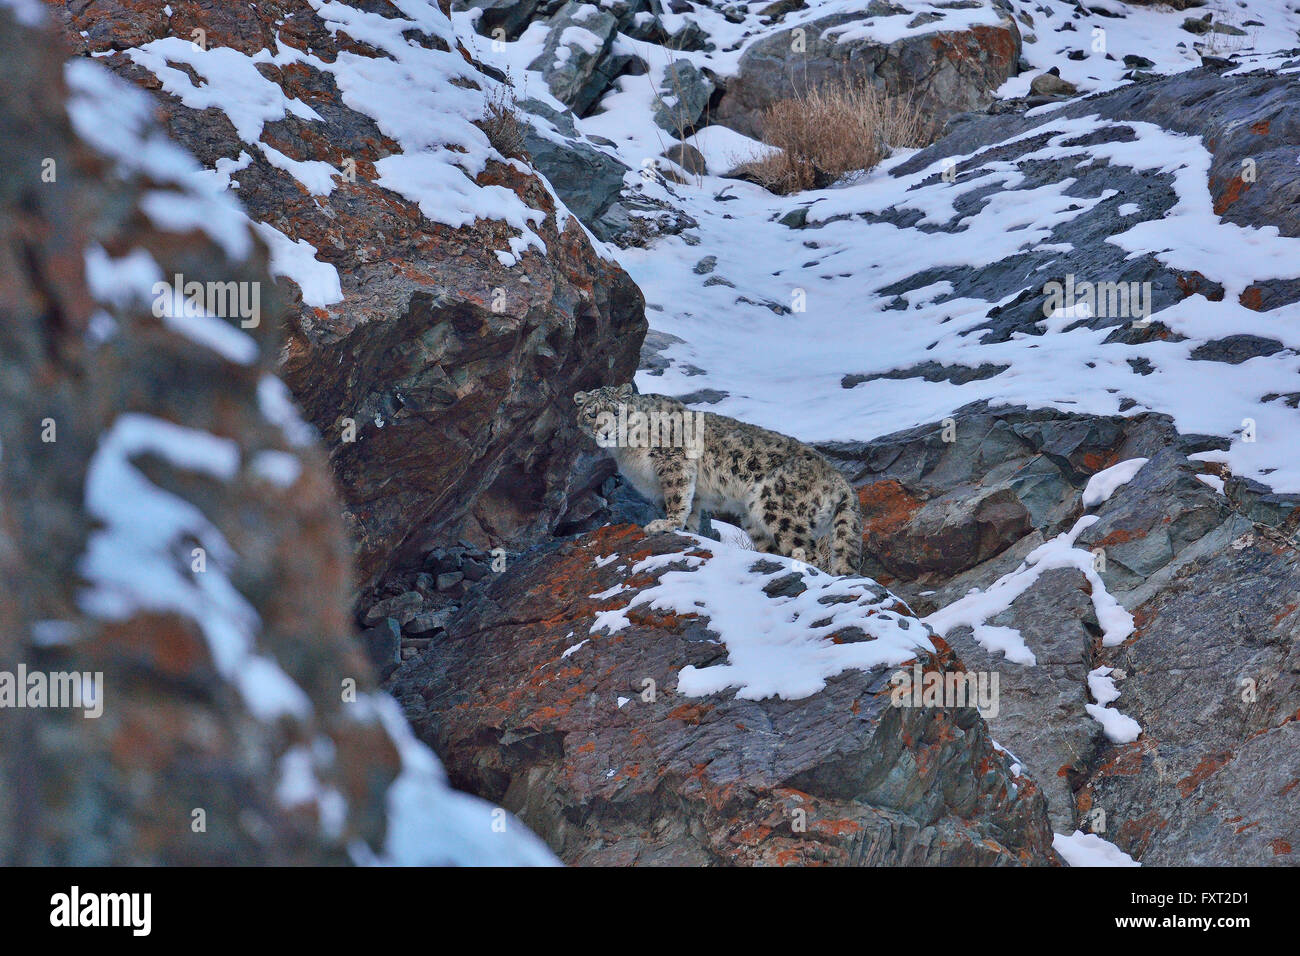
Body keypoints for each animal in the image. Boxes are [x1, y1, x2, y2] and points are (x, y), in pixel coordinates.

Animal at [577, 382, 863, 574]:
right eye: (591, 413)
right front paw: (687, 531)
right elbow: (691, 509)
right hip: (753, 519)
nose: (604, 431)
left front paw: (665, 524)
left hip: (776, 503)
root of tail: (840, 478)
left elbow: (677, 496)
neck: (626, 452)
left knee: (810, 552)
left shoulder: (673, 460)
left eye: (615, 412)